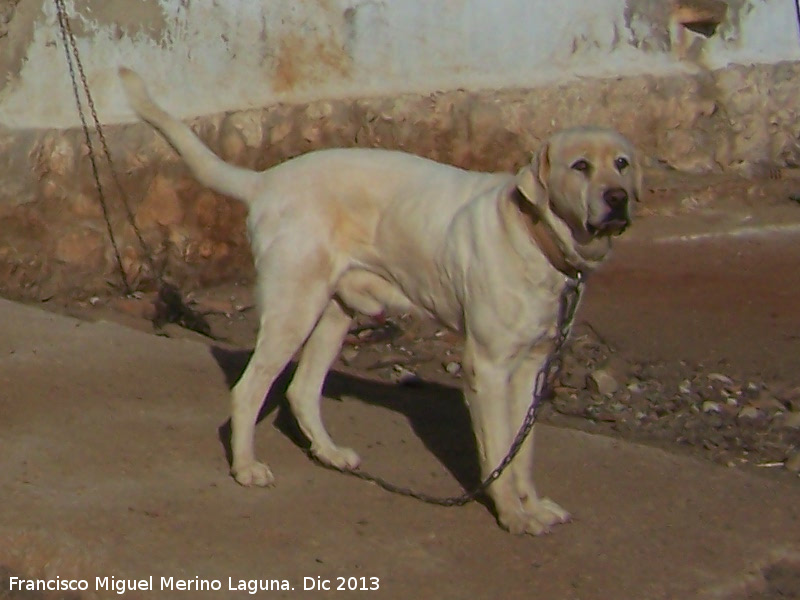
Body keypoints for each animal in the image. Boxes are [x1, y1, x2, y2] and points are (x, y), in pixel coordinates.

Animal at [120, 67, 644, 536]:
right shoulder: (489, 367)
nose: (618, 198)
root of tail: (266, 181)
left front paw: (531, 504)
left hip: (336, 313)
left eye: (621, 163)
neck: (534, 233)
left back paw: (329, 454)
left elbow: (524, 450)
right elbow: (499, 448)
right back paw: (247, 467)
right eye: (581, 166)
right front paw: (513, 515)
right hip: (295, 308)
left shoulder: (533, 367)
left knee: (301, 390)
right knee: (249, 390)